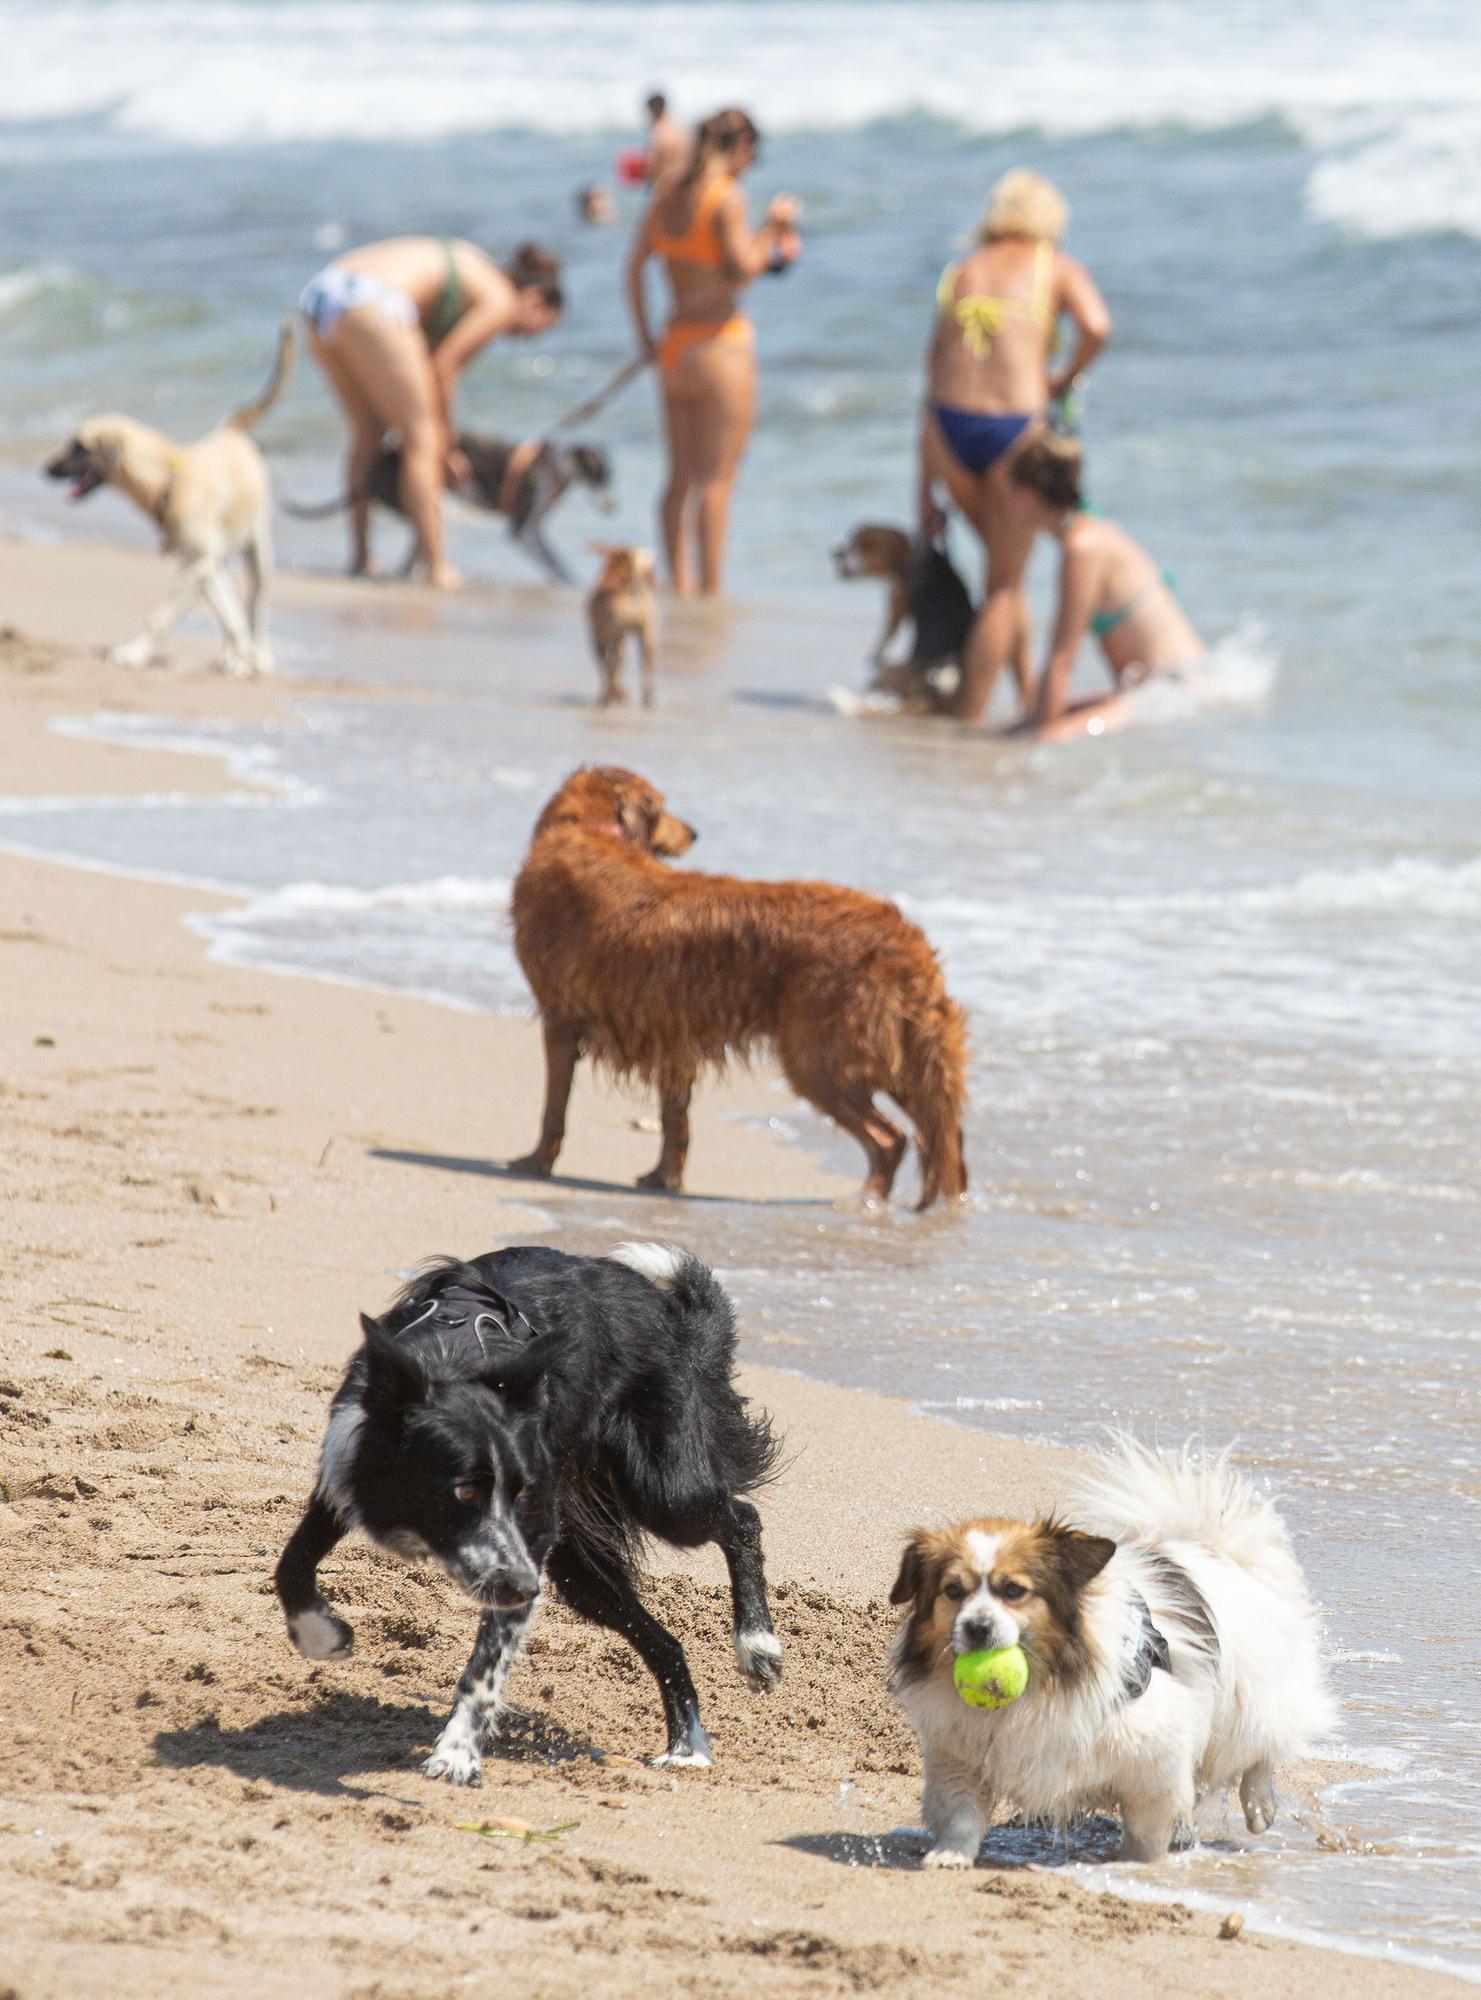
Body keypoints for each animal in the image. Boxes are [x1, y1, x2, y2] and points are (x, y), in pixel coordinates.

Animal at [278, 1240, 788, 1792]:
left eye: (519, 1492)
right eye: (464, 1490)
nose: (527, 1587)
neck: (453, 1362)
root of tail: (669, 1315)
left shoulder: (524, 1548)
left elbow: (483, 1669)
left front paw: (456, 1754)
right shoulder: (346, 1473)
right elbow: (291, 1564)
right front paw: (321, 1636)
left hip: (665, 1494)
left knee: (741, 1519)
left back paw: (757, 1644)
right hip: (580, 1572)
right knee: (666, 1643)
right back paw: (686, 1746)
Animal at [508, 760, 972, 1200]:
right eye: (662, 807)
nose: (693, 832)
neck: (585, 828)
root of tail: (906, 937)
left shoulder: (560, 1019)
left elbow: (554, 1108)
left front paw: (535, 1162)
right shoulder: (671, 1034)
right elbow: (675, 1120)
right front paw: (664, 1178)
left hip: (819, 1059)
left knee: (889, 1139)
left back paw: (866, 1200)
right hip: (901, 1059)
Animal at [892, 1448, 1344, 1864]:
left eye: (1014, 1591)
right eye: (953, 1591)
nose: (977, 1627)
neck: (1045, 1678)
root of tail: (1212, 1548)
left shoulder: (1155, 1755)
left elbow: (1147, 1827)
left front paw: (1136, 1866)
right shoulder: (957, 1754)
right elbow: (962, 1812)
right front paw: (951, 1854)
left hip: (1248, 1701)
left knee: (1260, 1749)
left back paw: (1259, 1805)